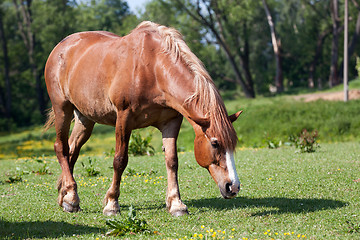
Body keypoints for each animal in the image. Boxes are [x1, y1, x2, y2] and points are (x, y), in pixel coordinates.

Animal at [44, 20, 242, 217]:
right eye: (215, 143)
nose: (233, 187)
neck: (154, 69)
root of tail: (61, 47)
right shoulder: (124, 118)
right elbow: (120, 160)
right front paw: (112, 203)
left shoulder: (171, 121)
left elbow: (172, 161)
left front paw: (176, 204)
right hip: (63, 108)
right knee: (61, 148)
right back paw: (71, 197)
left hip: (85, 118)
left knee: (72, 150)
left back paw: (66, 197)